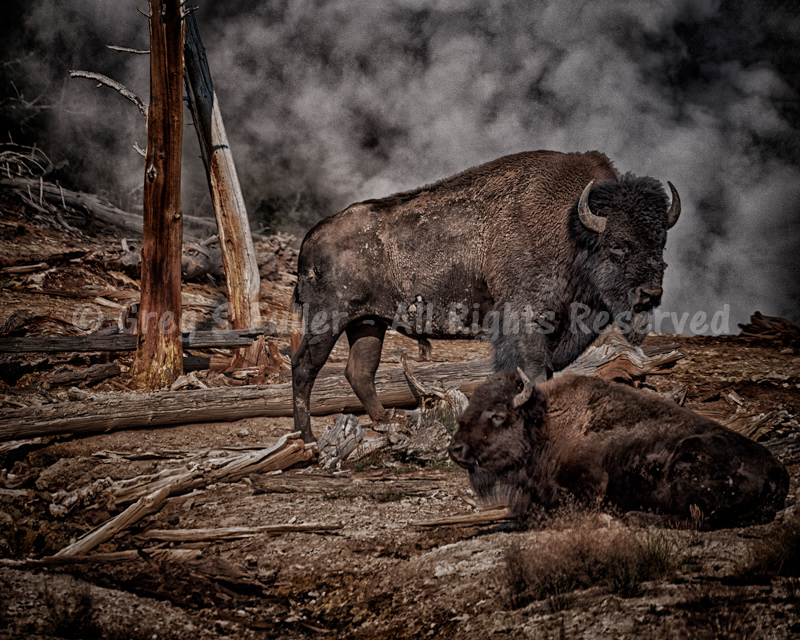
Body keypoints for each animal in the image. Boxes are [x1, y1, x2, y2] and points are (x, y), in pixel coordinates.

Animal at [292, 151, 680, 441]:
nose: (650, 294)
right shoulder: (525, 322)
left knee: (360, 370)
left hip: (368, 323)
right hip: (327, 321)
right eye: (618, 246)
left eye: (661, 241)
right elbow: (534, 372)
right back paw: (306, 438)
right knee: (304, 367)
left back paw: (388, 421)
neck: (573, 230)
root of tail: (311, 237)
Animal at [448, 371, 789, 528]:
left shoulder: (585, 489)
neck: (545, 424)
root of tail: (778, 470)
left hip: (687, 460)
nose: (455, 449)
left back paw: (631, 516)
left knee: (692, 519)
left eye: (497, 415)